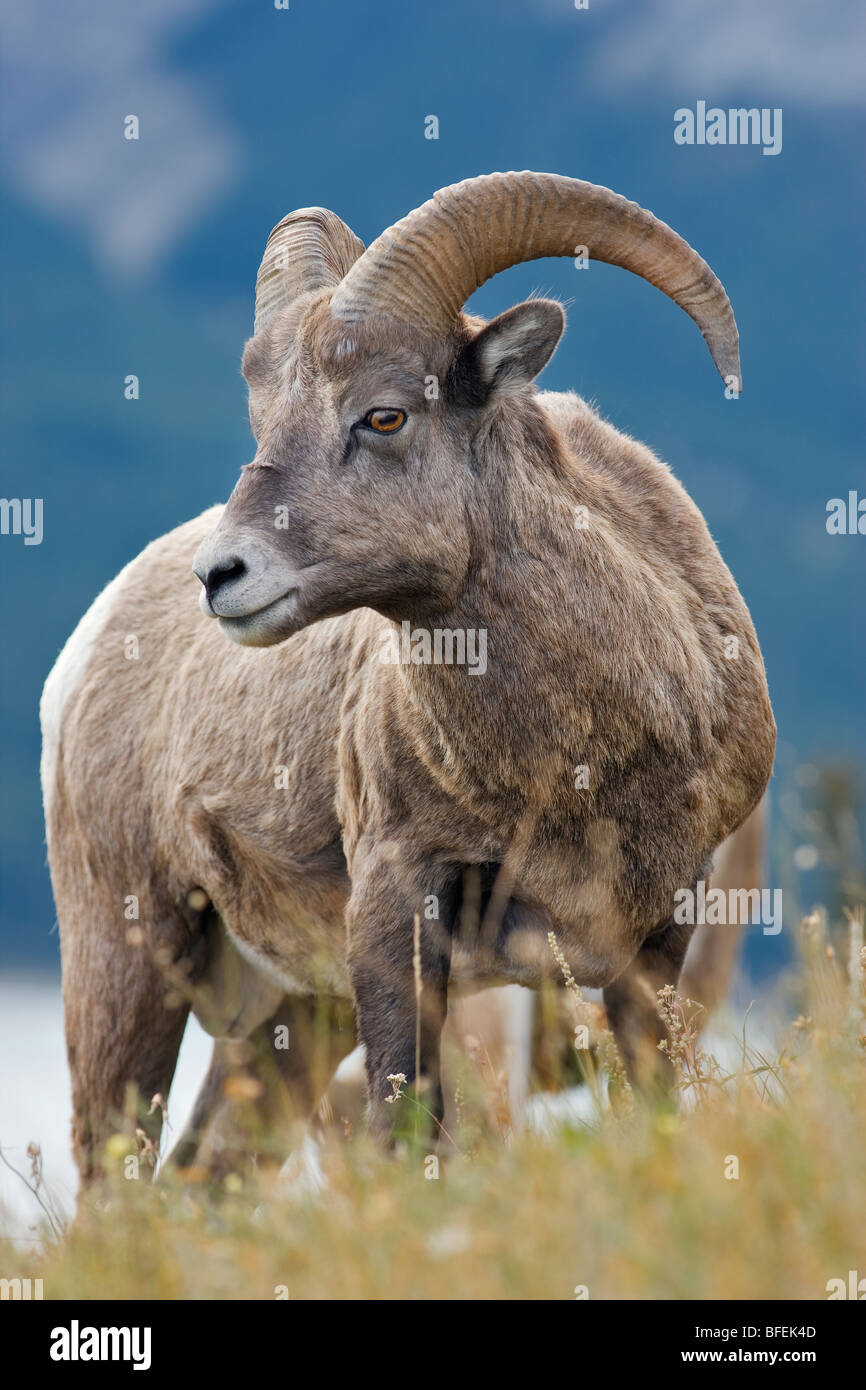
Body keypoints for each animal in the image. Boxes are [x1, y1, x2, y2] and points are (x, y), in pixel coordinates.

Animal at [40, 168, 778, 1178]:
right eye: (265, 418)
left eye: (384, 414)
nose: (222, 576)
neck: (577, 765)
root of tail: (83, 656)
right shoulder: (397, 922)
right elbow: (407, 1135)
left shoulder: (656, 946)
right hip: (128, 964)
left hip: (290, 1026)